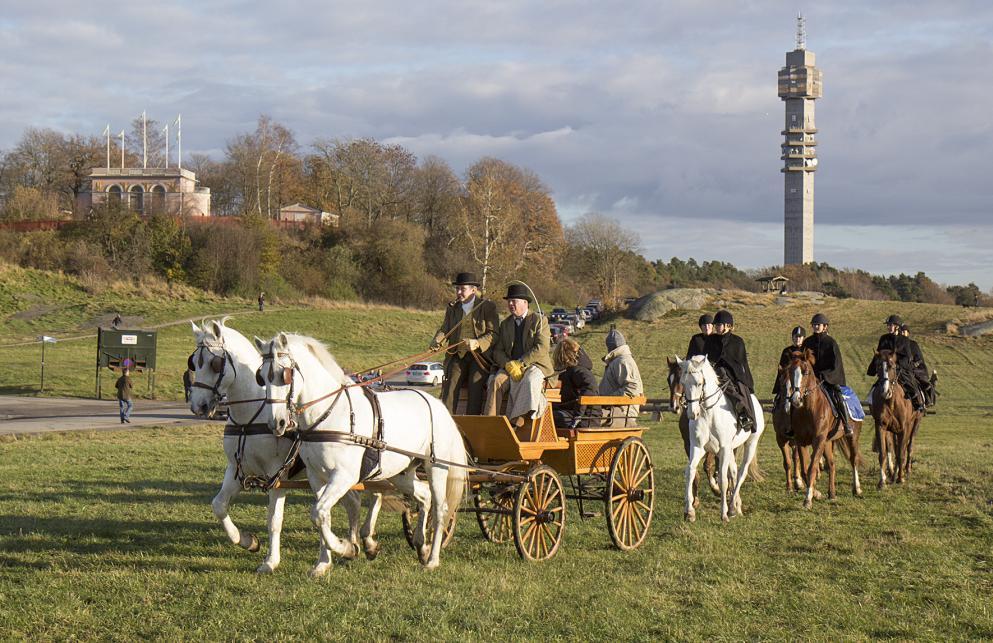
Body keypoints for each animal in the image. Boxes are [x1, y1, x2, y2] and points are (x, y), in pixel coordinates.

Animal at [188, 320, 382, 576]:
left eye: (214, 363)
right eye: (193, 362)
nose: (198, 405)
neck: (251, 417)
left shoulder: (277, 475)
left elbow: (274, 520)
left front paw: (271, 561)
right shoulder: (236, 469)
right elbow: (219, 506)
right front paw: (247, 541)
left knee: (377, 494)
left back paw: (367, 540)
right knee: (353, 502)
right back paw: (354, 544)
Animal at [256, 332, 464, 572]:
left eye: (284, 375)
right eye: (261, 377)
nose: (277, 423)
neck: (330, 413)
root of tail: (437, 404)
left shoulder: (344, 476)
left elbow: (318, 513)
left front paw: (345, 547)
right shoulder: (317, 477)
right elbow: (322, 516)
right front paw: (323, 563)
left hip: (436, 467)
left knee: (441, 509)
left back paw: (432, 560)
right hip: (402, 473)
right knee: (424, 496)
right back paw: (422, 545)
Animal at [784, 350, 860, 510]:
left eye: (806, 372)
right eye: (790, 372)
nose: (795, 400)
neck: (809, 409)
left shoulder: (818, 440)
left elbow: (812, 467)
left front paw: (808, 499)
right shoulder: (802, 442)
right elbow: (805, 470)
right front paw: (816, 494)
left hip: (852, 436)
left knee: (853, 459)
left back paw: (856, 489)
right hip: (827, 442)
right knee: (831, 464)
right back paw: (832, 494)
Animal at [868, 352, 924, 488]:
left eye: (892, 366)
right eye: (878, 367)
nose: (885, 391)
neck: (891, 402)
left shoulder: (904, 428)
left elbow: (900, 452)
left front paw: (900, 478)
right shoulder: (881, 426)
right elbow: (883, 453)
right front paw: (882, 482)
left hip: (915, 423)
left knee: (908, 446)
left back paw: (906, 470)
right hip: (893, 430)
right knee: (894, 446)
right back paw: (893, 473)